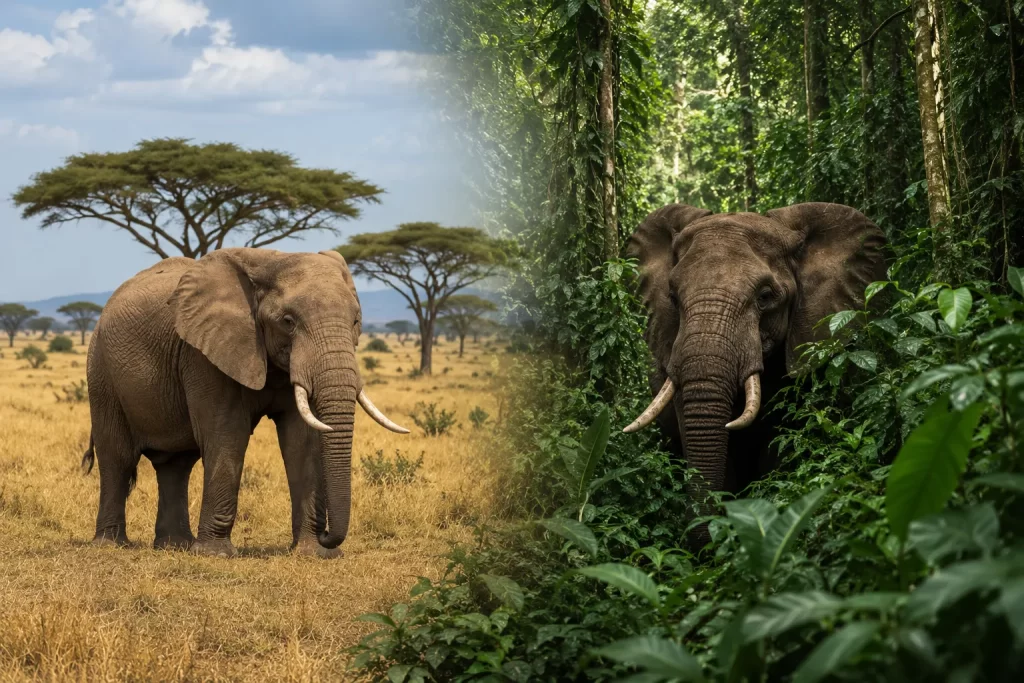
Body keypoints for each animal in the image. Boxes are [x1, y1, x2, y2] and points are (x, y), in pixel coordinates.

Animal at [81, 248, 409, 557]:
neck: (269, 261)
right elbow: (228, 433)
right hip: (101, 371)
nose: (329, 535)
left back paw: (175, 546)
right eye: (288, 322)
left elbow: (302, 440)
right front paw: (215, 554)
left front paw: (313, 552)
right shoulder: (204, 353)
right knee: (118, 456)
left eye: (356, 321)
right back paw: (111, 545)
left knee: (176, 464)